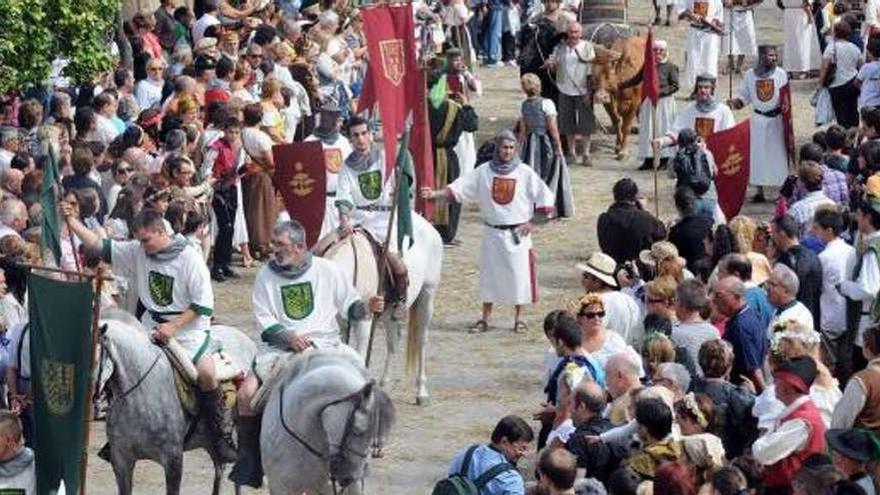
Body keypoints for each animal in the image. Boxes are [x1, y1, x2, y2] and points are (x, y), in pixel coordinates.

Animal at [324, 214, 444, 406]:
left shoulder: (363, 323)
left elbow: (359, 355)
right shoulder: (340, 323)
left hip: (427, 295)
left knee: (421, 340)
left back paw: (421, 391)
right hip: (389, 313)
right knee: (392, 342)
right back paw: (384, 385)